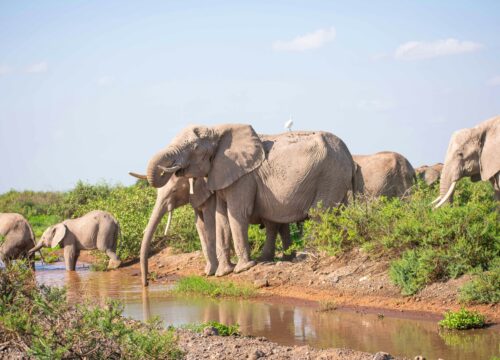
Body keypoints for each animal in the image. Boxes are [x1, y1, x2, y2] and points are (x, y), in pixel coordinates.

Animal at [129, 172, 292, 286]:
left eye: (174, 191)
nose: (146, 284)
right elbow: (200, 225)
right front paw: (208, 272)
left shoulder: (211, 195)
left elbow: (210, 222)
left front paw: (214, 271)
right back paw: (287, 257)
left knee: (272, 224)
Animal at [145, 124, 356, 276]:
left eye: (194, 147)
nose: (171, 168)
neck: (218, 130)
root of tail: (349, 153)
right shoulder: (222, 176)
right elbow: (222, 217)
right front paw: (223, 273)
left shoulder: (243, 178)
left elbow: (236, 214)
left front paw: (242, 269)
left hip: (331, 174)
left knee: (319, 214)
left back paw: (305, 257)